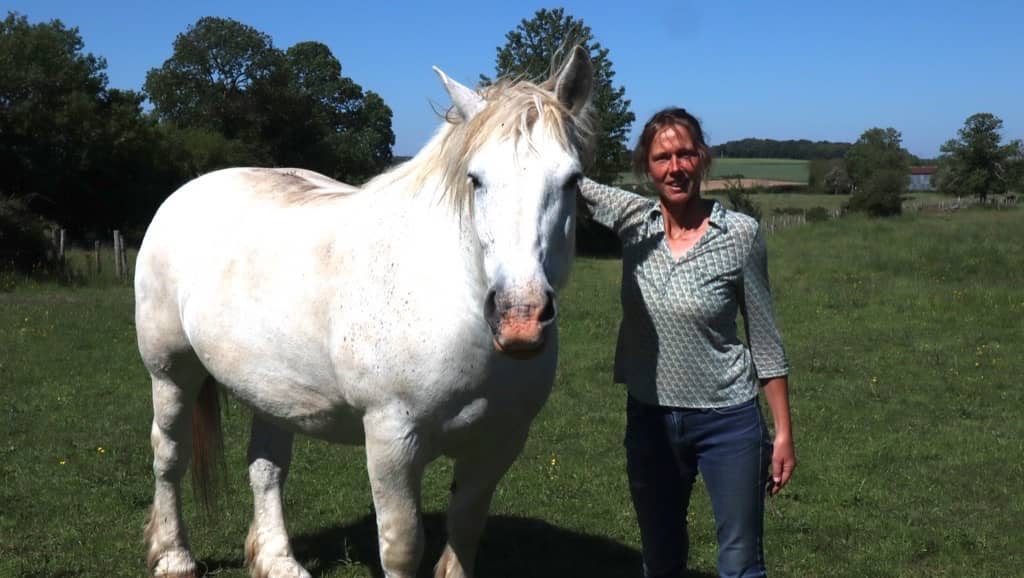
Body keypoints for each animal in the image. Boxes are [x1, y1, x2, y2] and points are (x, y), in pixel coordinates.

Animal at [136, 46, 593, 578]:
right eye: (475, 179)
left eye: (572, 180)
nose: (520, 317)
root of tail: (187, 191)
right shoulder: (392, 439)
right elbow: (401, 546)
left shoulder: (499, 442)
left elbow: (465, 531)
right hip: (171, 372)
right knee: (170, 456)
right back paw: (174, 556)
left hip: (270, 389)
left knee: (266, 467)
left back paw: (278, 561)